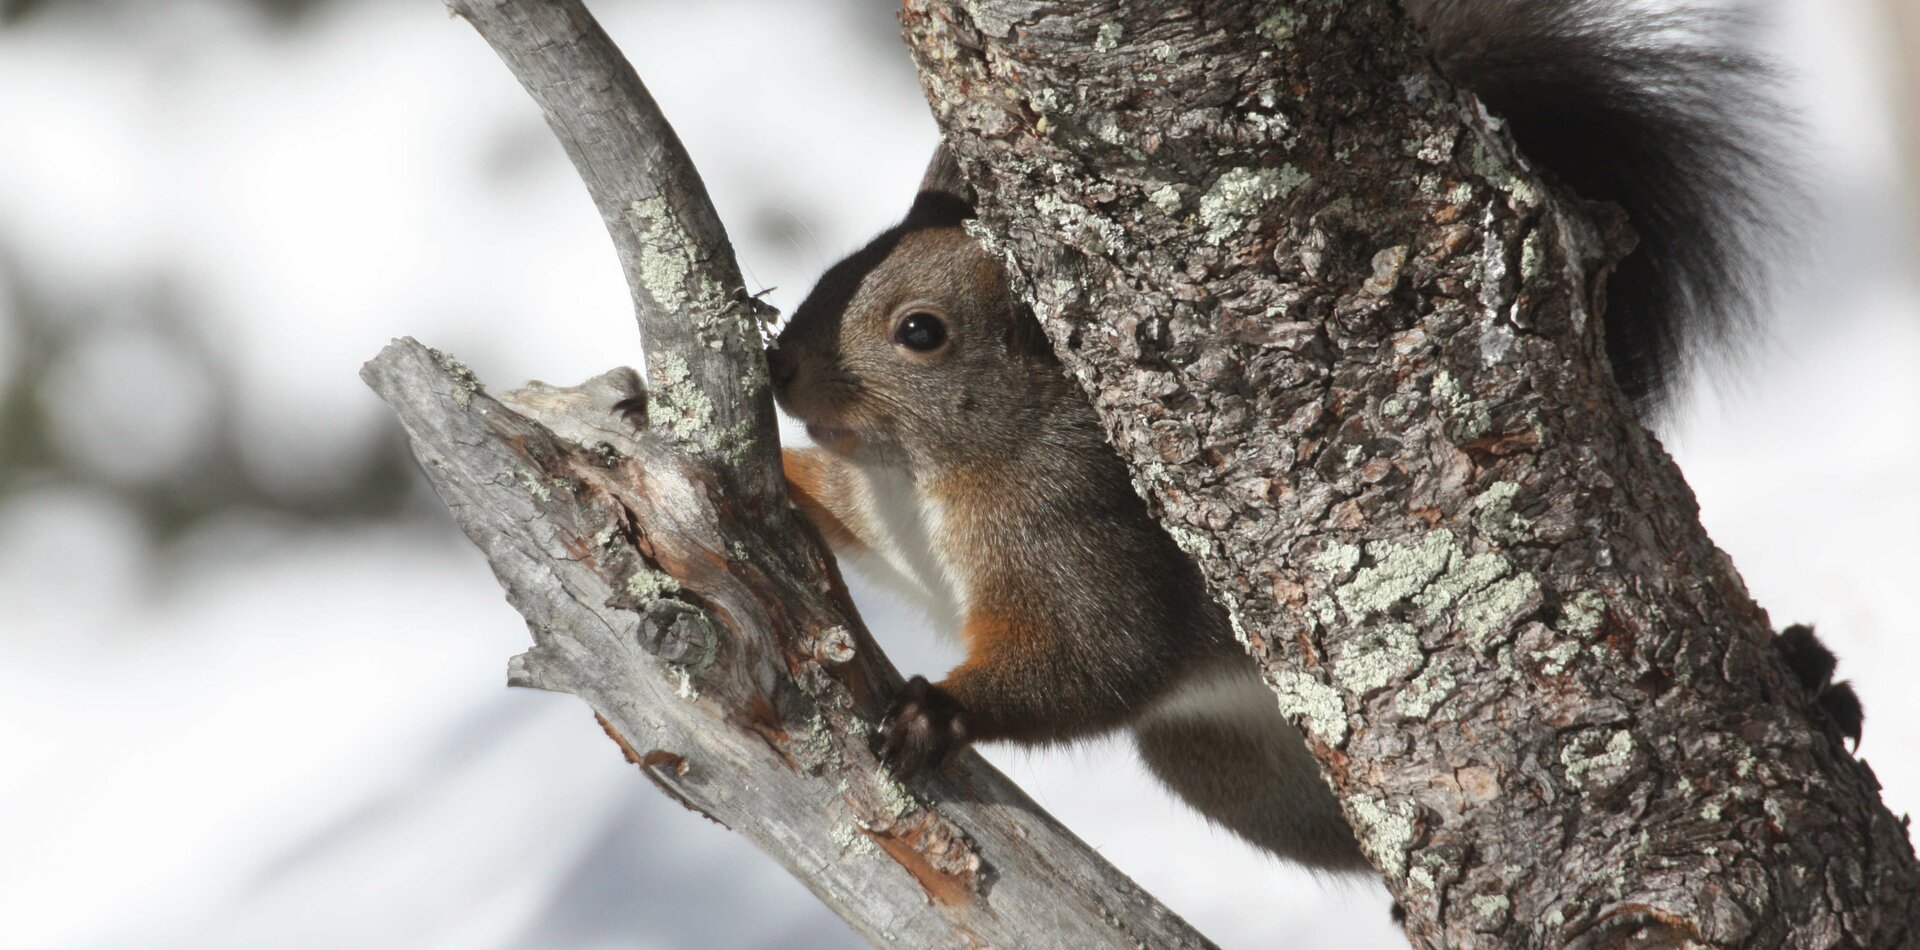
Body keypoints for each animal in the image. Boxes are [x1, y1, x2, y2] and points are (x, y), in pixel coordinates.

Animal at [756, 1, 1866, 878]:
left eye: (920, 333)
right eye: (852, 255)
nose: (779, 368)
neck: (923, 477)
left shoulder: (1085, 531)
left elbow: (1101, 656)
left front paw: (938, 711)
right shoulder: (878, 508)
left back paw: (1809, 672)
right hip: (1240, 776)